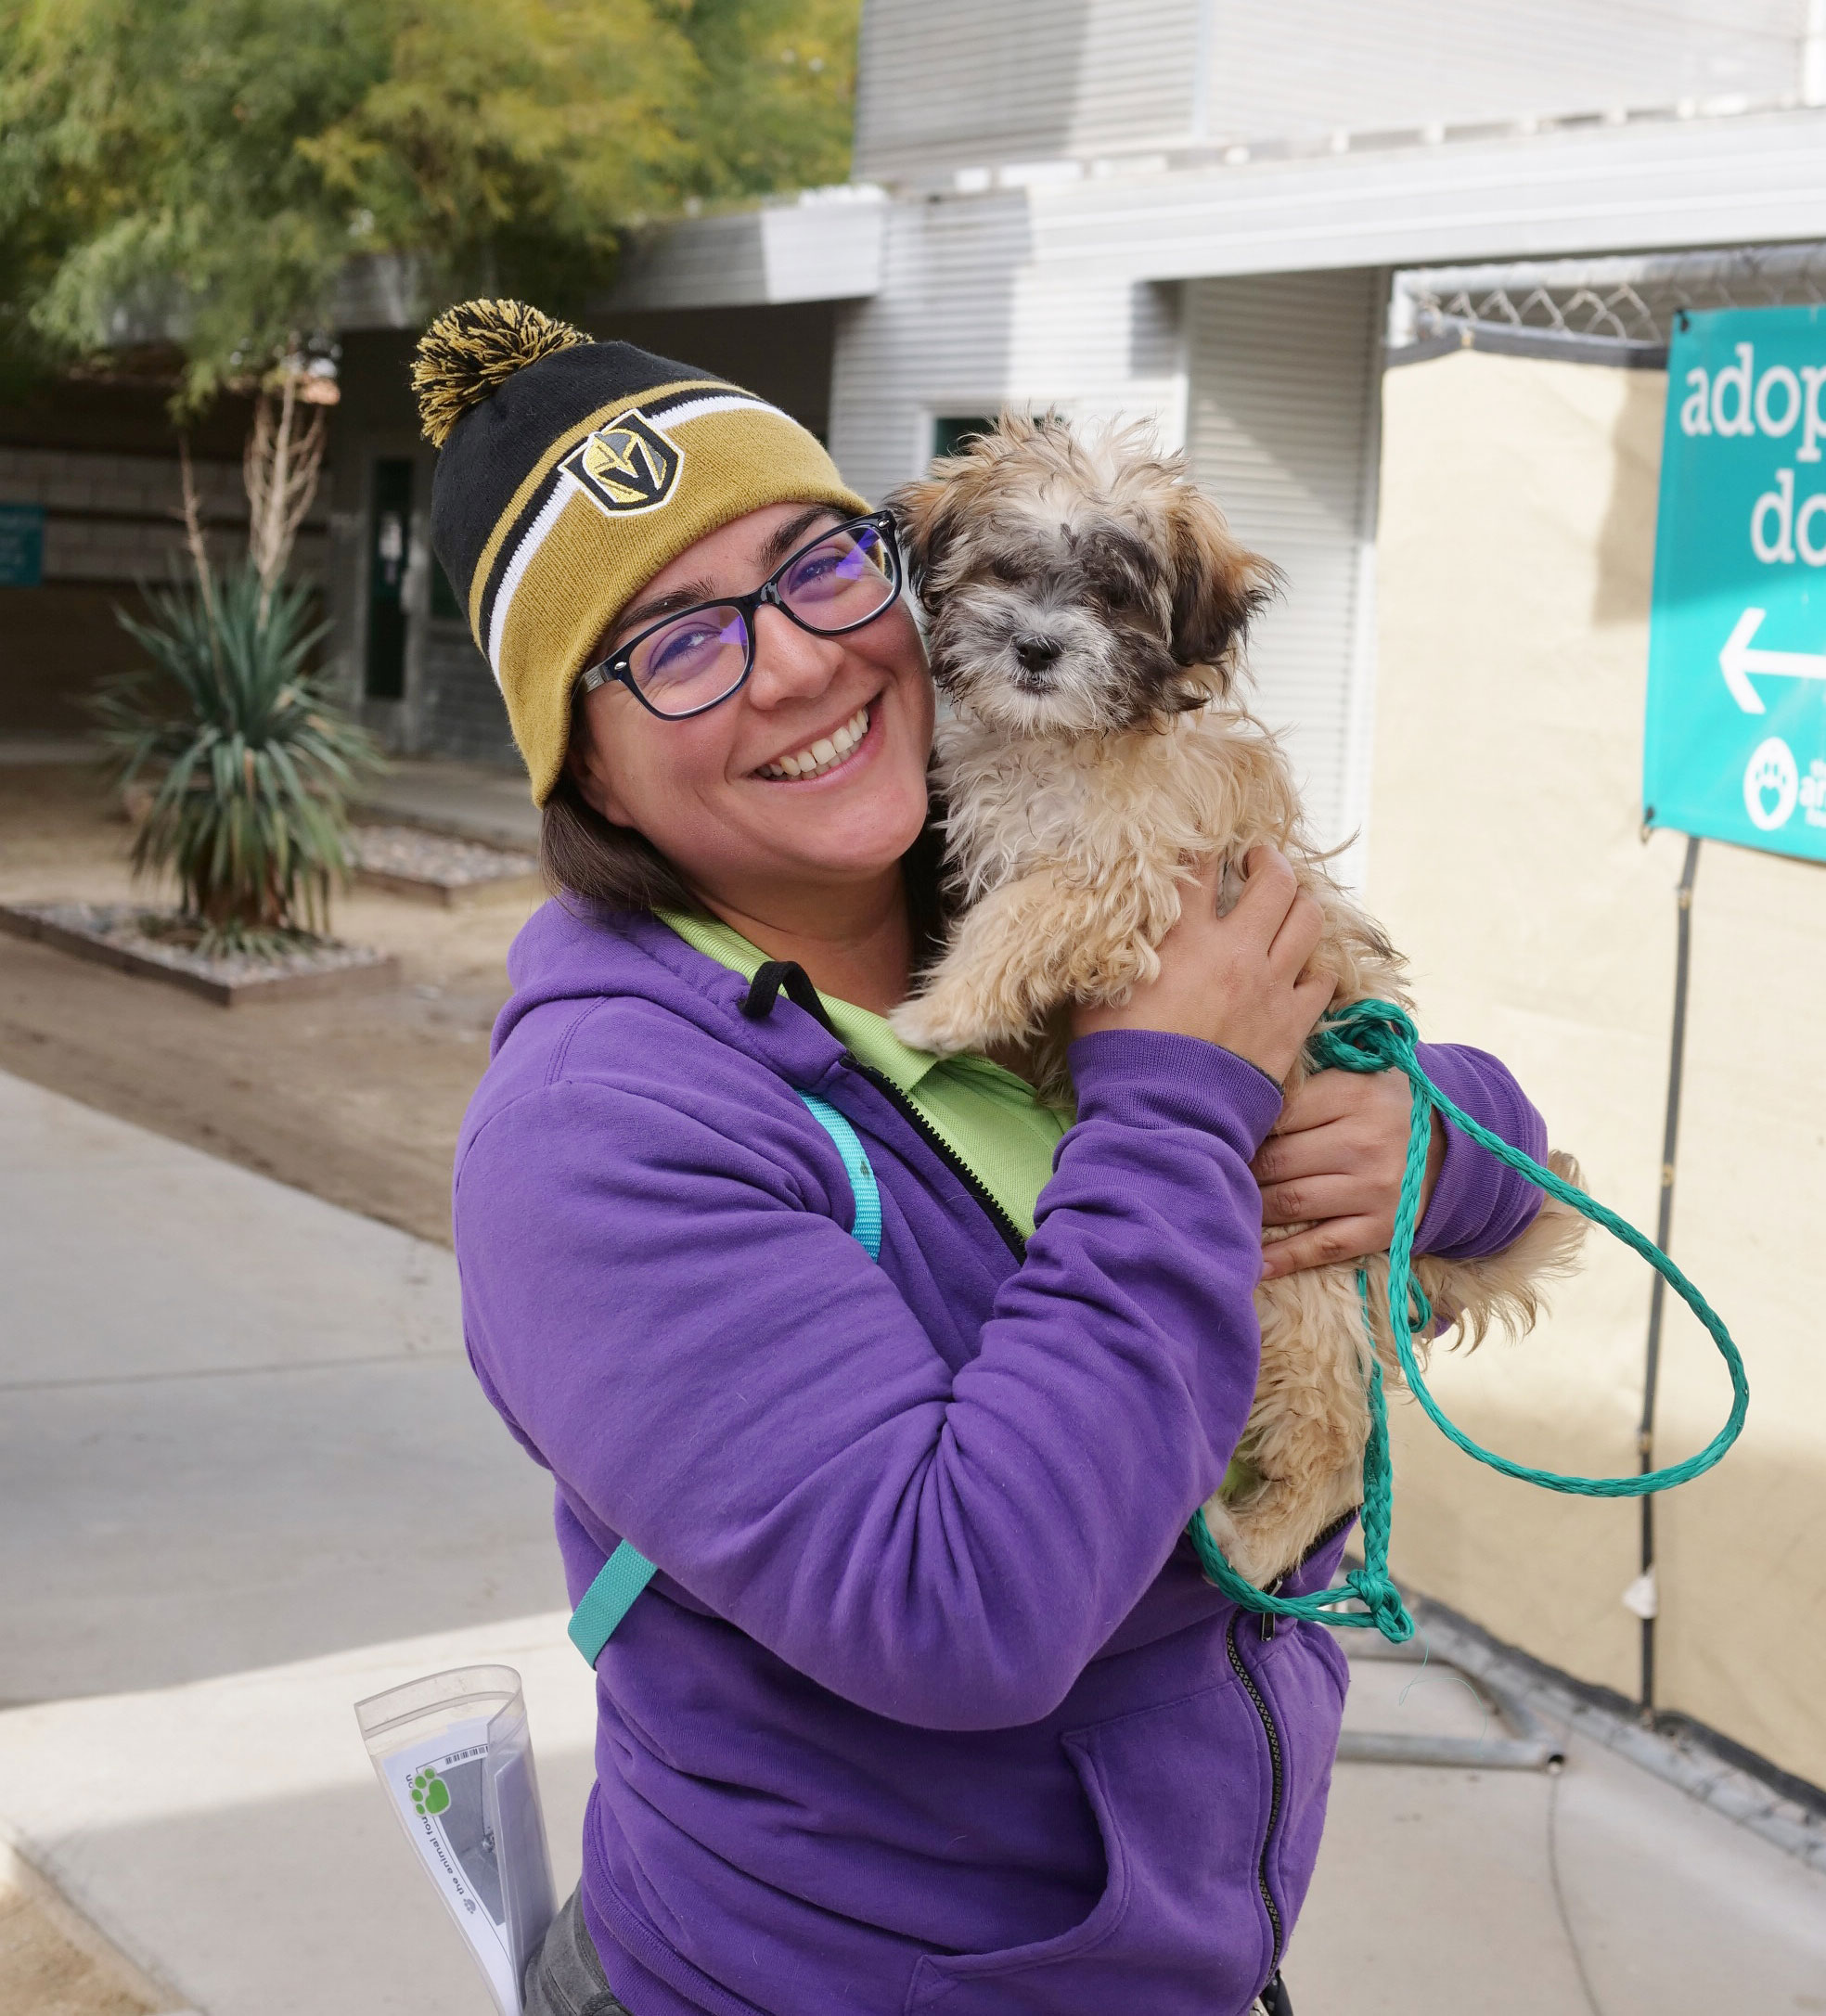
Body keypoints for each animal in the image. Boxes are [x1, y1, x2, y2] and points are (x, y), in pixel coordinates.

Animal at [886, 417, 1579, 1588]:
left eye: (1115, 594)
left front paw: (938, 1012)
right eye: (1006, 568)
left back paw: (1253, 1540)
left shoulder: (1127, 879)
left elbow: (1021, 915)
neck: (1067, 748)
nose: (1035, 650)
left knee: (1336, 1445)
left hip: (1290, 1292)